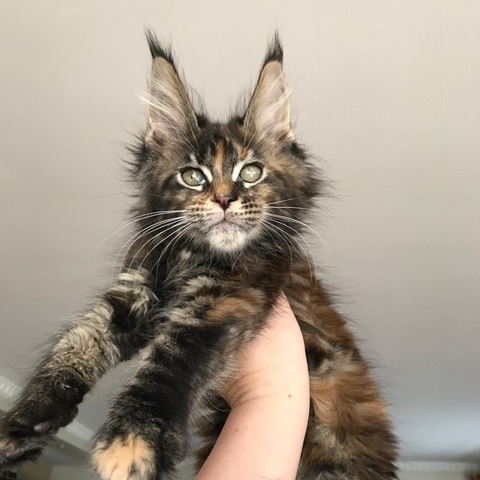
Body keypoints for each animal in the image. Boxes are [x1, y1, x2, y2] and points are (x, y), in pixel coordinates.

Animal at [0, 34, 398, 480]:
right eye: (193, 177)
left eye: (251, 173)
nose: (224, 199)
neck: (190, 256)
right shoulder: (133, 290)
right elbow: (75, 344)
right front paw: (24, 421)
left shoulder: (226, 298)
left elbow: (170, 361)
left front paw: (133, 440)